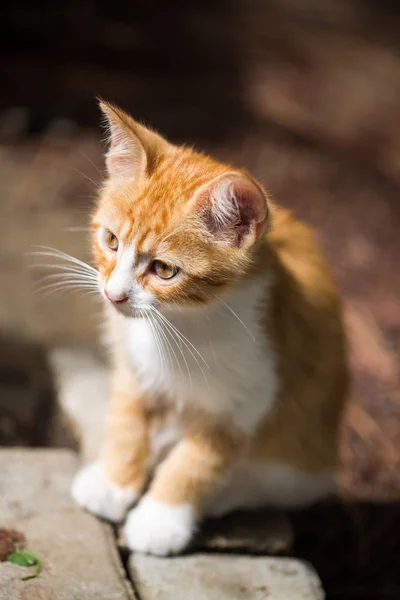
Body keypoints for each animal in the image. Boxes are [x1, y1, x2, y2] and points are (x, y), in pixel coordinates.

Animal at [71, 101, 346, 556]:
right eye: (111, 241)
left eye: (164, 270)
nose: (114, 295)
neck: (179, 324)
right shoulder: (133, 368)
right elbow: (127, 422)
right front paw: (114, 484)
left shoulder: (248, 396)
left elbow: (197, 462)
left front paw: (159, 520)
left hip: (305, 452)